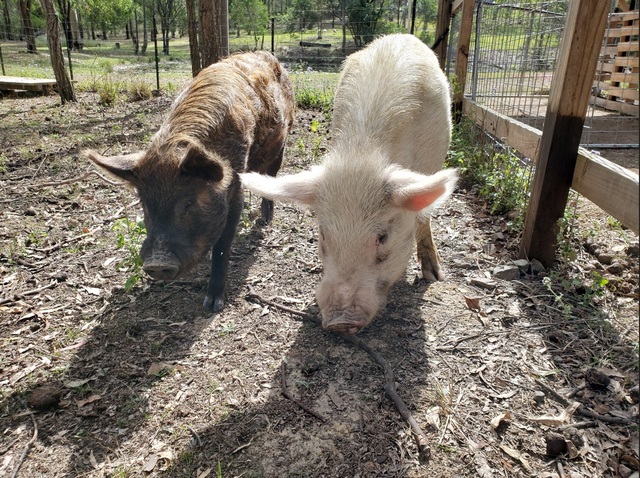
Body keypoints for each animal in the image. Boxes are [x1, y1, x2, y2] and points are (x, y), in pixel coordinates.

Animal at [85, 51, 295, 312]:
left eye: (189, 202)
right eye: (144, 204)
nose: (157, 263)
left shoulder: (234, 189)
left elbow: (223, 244)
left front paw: (213, 305)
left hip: (281, 144)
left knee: (271, 176)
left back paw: (264, 222)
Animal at [240, 34, 457, 333]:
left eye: (382, 237)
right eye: (323, 234)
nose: (339, 322)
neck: (361, 156)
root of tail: (401, 36)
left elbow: (423, 216)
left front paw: (434, 278)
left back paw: (433, 274)